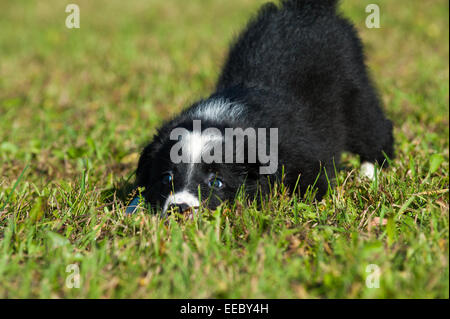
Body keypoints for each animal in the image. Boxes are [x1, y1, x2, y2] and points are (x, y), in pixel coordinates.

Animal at [130, 0, 394, 216]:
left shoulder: (301, 151)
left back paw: (371, 171)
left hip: (352, 89)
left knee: (371, 126)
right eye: (167, 177)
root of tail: (306, 9)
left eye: (217, 182)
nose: (180, 208)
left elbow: (314, 178)